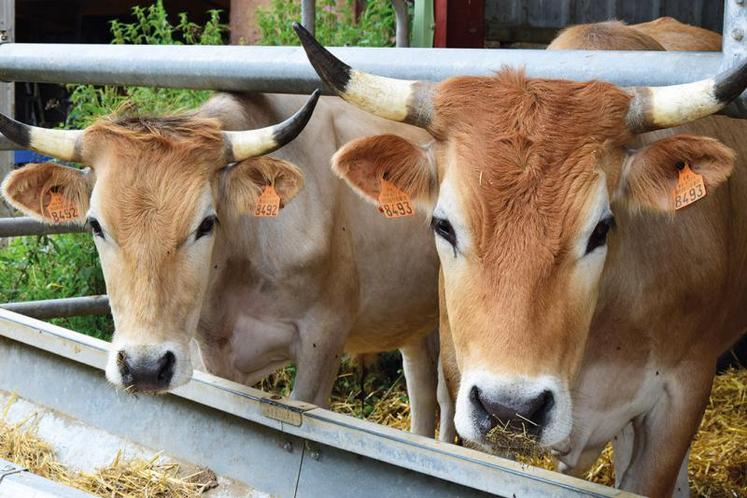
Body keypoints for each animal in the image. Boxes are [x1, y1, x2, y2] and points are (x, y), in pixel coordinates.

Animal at [0, 90, 443, 437]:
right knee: (421, 383)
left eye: (207, 223)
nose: (144, 367)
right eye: (95, 224)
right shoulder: (212, 354)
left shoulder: (323, 340)